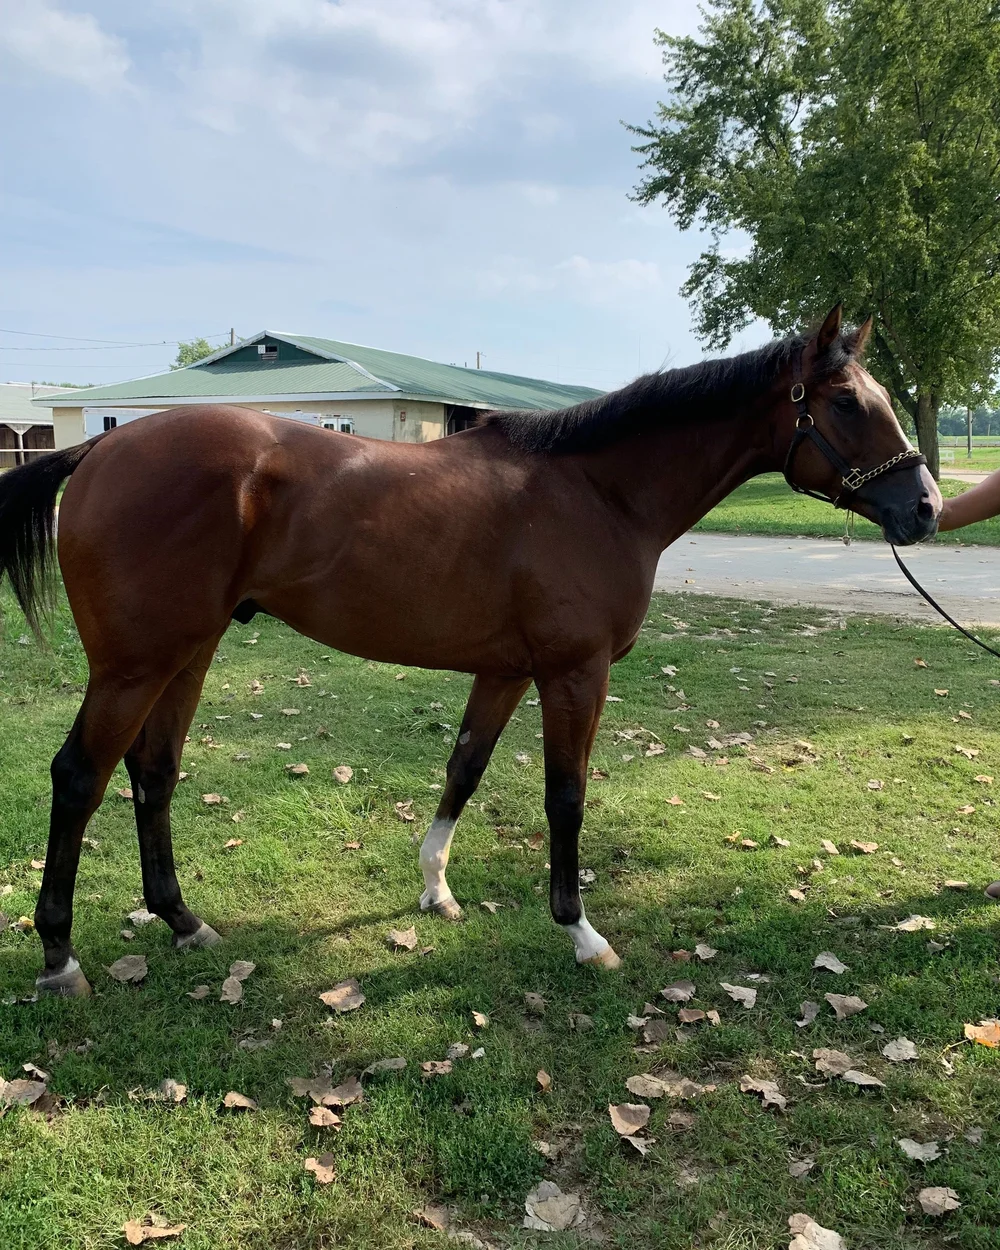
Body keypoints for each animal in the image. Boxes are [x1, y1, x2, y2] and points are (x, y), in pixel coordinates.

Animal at [0, 305, 940, 996]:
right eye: (847, 403)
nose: (925, 508)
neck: (598, 491)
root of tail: (100, 443)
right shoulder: (574, 675)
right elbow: (566, 798)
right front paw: (580, 931)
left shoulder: (505, 670)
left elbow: (464, 768)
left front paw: (435, 888)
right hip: (133, 666)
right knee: (79, 778)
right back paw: (60, 959)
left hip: (186, 656)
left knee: (153, 775)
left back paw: (184, 921)